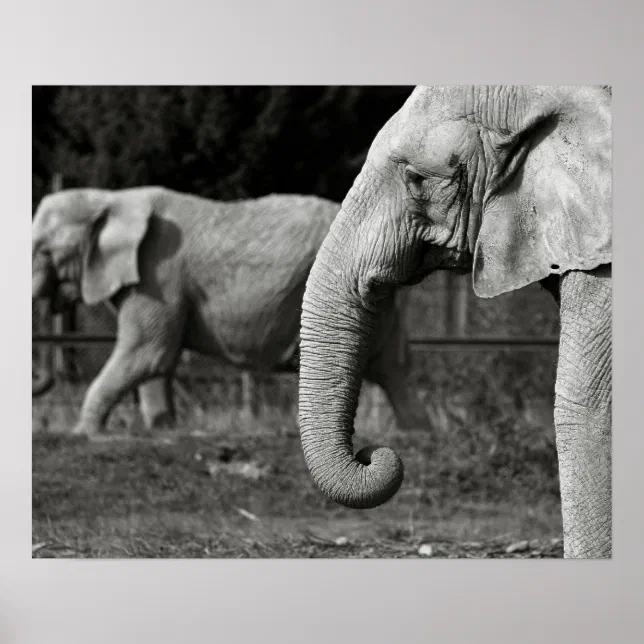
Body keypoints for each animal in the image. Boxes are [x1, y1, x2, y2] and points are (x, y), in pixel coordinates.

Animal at [32, 187, 429, 436]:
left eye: (44, 252)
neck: (112, 197)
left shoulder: (159, 273)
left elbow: (148, 352)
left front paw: (82, 433)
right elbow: (158, 360)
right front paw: (164, 428)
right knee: (392, 366)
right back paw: (418, 431)